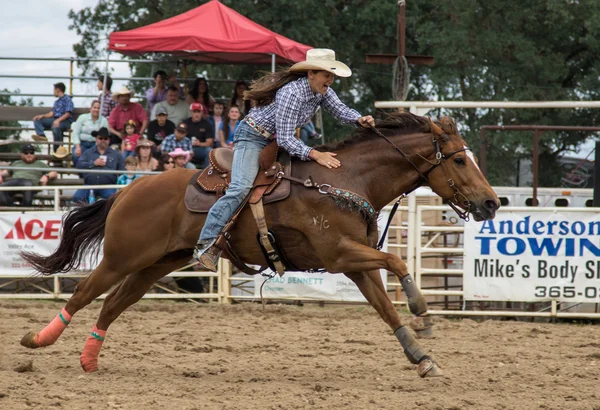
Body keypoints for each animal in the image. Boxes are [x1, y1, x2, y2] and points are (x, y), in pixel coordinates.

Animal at [18, 112, 500, 378]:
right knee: (84, 293)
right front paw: (423, 314)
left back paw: (88, 360)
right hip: (122, 256)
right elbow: (397, 263)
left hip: (157, 264)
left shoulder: (354, 263)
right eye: (460, 159)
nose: (492, 203)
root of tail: (127, 189)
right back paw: (36, 341)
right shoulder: (338, 254)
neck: (347, 181)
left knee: (114, 304)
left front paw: (421, 357)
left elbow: (385, 308)